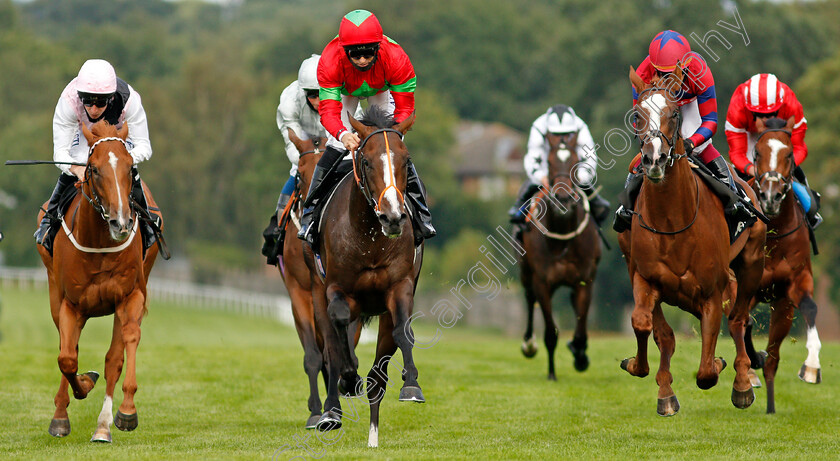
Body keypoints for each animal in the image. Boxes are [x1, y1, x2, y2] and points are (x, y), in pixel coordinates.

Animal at [36, 120, 162, 440]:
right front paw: (71, 401)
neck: (100, 245)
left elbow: (121, 351)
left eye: (130, 166)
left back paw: (104, 424)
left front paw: (123, 413)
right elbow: (67, 357)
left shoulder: (130, 296)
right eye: (92, 169)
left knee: (114, 356)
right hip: (55, 296)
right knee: (68, 349)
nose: (121, 222)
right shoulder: (70, 305)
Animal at [306, 105, 426, 446]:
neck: (369, 237)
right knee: (331, 350)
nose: (393, 216)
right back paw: (331, 412)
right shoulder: (336, 289)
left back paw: (372, 437)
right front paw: (349, 380)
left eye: (406, 161)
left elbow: (402, 333)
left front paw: (411, 385)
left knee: (378, 375)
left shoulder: (400, 287)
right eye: (368, 161)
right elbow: (339, 334)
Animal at [516, 129, 600, 378]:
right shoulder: (542, 282)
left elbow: (581, 330)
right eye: (549, 162)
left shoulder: (585, 280)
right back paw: (528, 344)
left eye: (575, 160)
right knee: (529, 298)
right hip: (526, 273)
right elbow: (551, 332)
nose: (563, 199)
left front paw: (580, 356)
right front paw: (552, 373)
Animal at [616, 66, 768, 416]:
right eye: (637, 115)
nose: (654, 159)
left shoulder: (711, 290)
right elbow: (646, 325)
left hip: (751, 263)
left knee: (738, 319)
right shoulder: (643, 277)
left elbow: (706, 372)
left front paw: (722, 367)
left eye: (673, 113)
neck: (673, 220)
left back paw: (742, 383)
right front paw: (654, 382)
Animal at [744, 116, 824, 414]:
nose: (771, 196)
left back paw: (769, 405)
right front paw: (750, 366)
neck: (774, 230)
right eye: (757, 153)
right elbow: (742, 323)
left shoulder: (794, 284)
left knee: (773, 360)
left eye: (789, 154)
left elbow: (810, 307)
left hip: (781, 308)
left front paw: (811, 367)